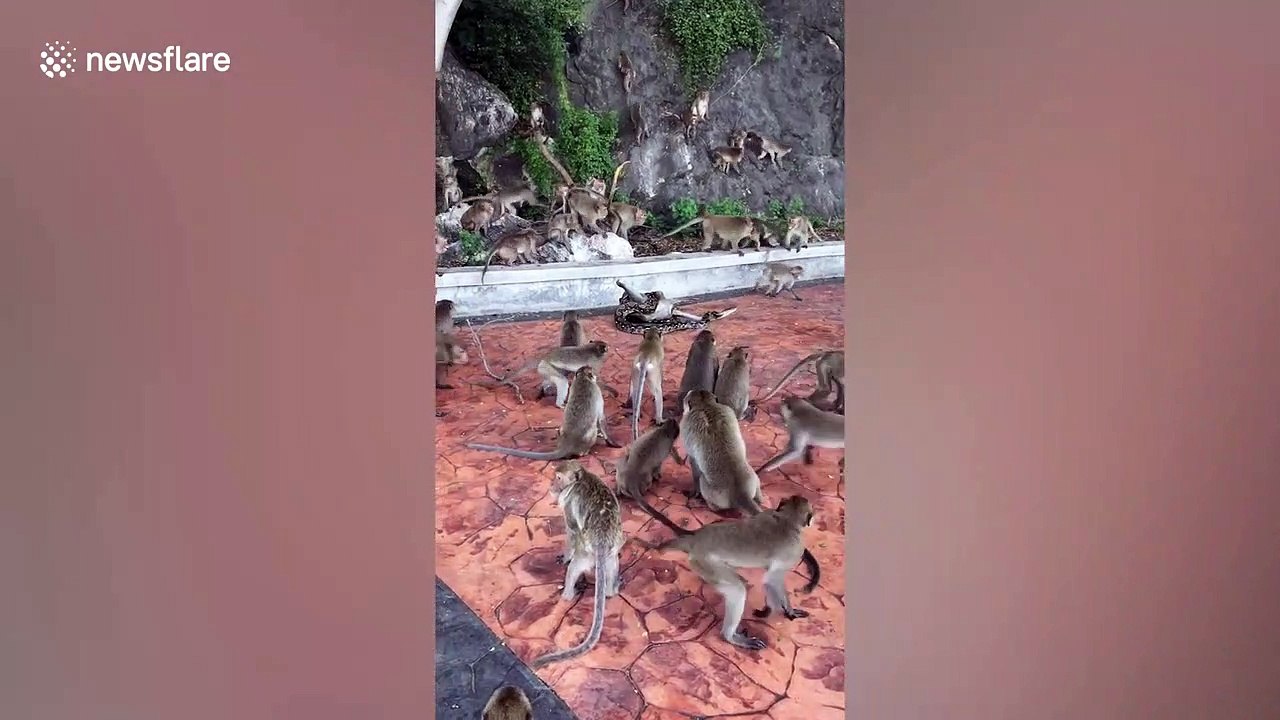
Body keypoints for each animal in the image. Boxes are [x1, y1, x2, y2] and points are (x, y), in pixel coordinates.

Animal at [467, 367, 620, 460]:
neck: (583, 379)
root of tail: (567, 443)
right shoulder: (597, 391)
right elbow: (601, 419)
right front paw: (612, 442)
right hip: (587, 439)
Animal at [529, 460, 625, 668]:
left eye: (558, 478)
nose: (552, 485)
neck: (582, 478)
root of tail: (601, 542)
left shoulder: (569, 499)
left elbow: (572, 530)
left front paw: (565, 557)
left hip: (586, 555)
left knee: (575, 565)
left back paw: (568, 594)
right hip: (610, 552)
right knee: (613, 561)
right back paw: (611, 590)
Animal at [634, 496, 821, 650]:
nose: (812, 521)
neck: (786, 520)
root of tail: (696, 539)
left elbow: (769, 579)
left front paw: (766, 610)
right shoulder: (794, 550)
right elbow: (772, 580)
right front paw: (788, 611)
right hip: (705, 562)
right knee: (737, 589)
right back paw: (730, 637)